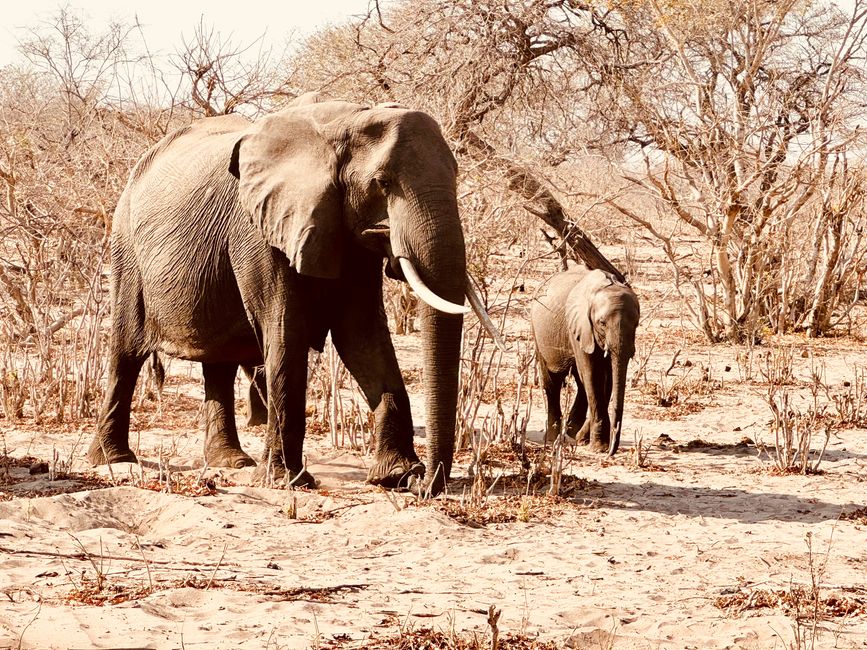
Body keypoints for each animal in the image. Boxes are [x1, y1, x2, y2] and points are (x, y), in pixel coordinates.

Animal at [87, 93, 488, 494]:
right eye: (382, 183)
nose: (425, 483)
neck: (343, 122)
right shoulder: (259, 230)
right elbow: (286, 331)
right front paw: (287, 481)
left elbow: (361, 335)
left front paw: (395, 476)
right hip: (126, 247)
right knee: (126, 353)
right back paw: (114, 460)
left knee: (218, 361)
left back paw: (230, 462)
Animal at [528, 266, 636, 454]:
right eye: (602, 323)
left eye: (636, 324)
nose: (611, 452)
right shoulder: (580, 327)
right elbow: (594, 376)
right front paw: (599, 447)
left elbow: (606, 380)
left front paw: (585, 439)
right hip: (538, 333)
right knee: (552, 381)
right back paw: (553, 437)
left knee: (580, 382)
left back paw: (572, 431)